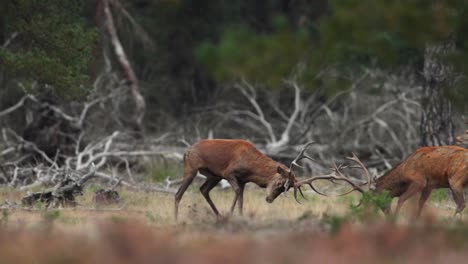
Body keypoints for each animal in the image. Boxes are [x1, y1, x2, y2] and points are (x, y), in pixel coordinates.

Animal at [174, 139, 316, 220]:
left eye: (288, 187)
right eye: (280, 183)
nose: (269, 199)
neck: (251, 169)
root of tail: (186, 151)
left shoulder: (243, 181)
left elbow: (241, 201)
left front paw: (240, 217)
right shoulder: (228, 173)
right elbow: (237, 191)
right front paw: (230, 214)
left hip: (214, 176)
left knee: (203, 189)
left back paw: (218, 216)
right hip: (191, 168)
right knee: (178, 193)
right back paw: (176, 219)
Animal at [294, 144, 468, 217]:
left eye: (375, 199)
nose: (386, 213)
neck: (403, 171)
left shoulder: (419, 181)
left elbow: (402, 200)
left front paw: (396, 219)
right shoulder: (429, 186)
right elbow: (419, 205)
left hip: (455, 180)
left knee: (461, 204)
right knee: (461, 204)